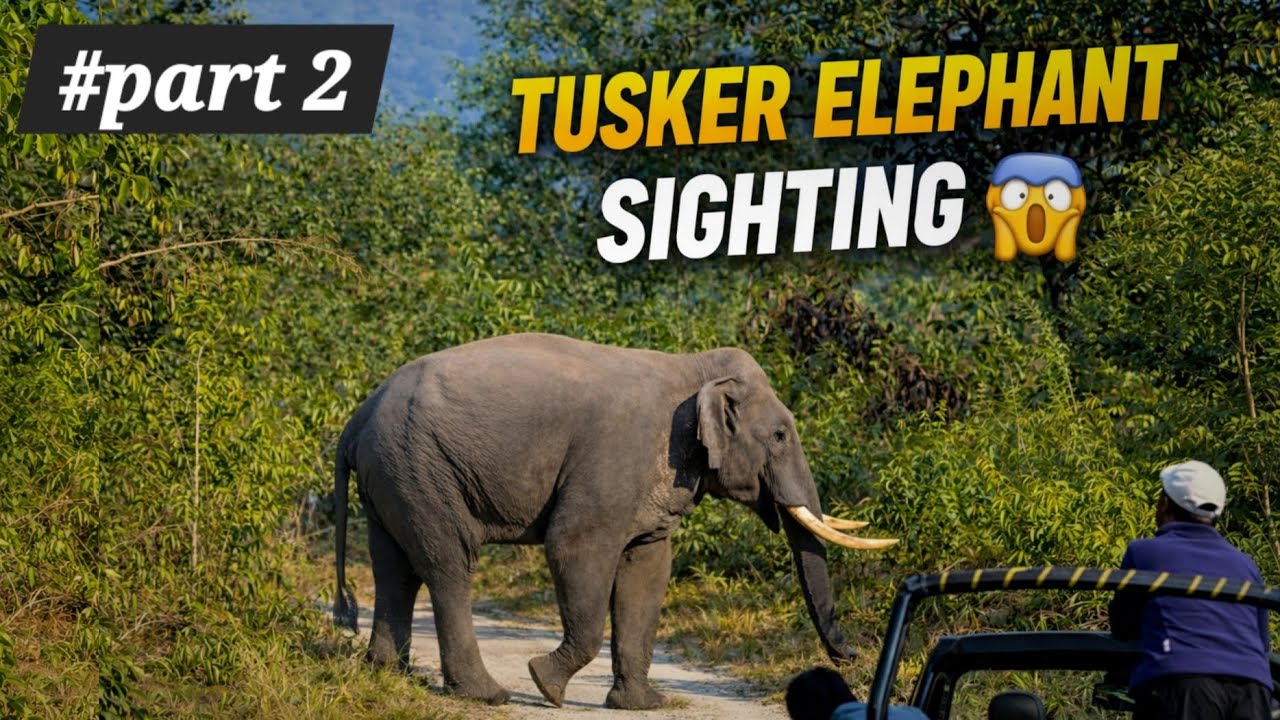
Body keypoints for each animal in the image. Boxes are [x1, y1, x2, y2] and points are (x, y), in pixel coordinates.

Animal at [331, 333, 896, 709]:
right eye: (779, 435)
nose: (850, 658)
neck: (693, 370)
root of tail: (357, 419)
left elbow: (648, 567)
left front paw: (641, 706)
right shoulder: (615, 460)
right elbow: (574, 545)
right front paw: (546, 685)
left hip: (394, 476)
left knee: (394, 568)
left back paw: (388, 673)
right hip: (421, 467)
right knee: (448, 566)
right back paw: (488, 695)